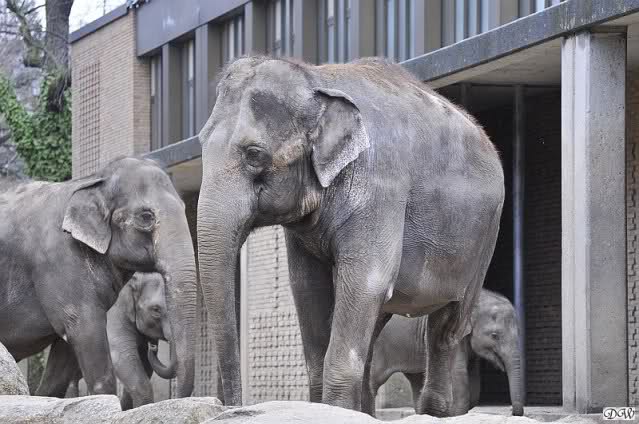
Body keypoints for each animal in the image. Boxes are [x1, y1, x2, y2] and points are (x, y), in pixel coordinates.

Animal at [0, 157, 197, 399]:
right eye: (146, 217)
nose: (153, 347)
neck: (94, 181)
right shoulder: (59, 261)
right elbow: (85, 330)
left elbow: (61, 363)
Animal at [196, 56, 504, 416]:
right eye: (201, 145)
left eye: (254, 154)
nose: (231, 408)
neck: (315, 79)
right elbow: (308, 287)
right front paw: (325, 410)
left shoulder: (381, 186)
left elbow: (365, 281)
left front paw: (333, 410)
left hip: (485, 238)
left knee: (446, 327)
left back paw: (434, 411)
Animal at [370, 289, 524, 416]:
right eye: (494, 335)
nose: (512, 411)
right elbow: (459, 375)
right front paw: (455, 415)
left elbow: (474, 380)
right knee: (374, 380)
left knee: (417, 381)